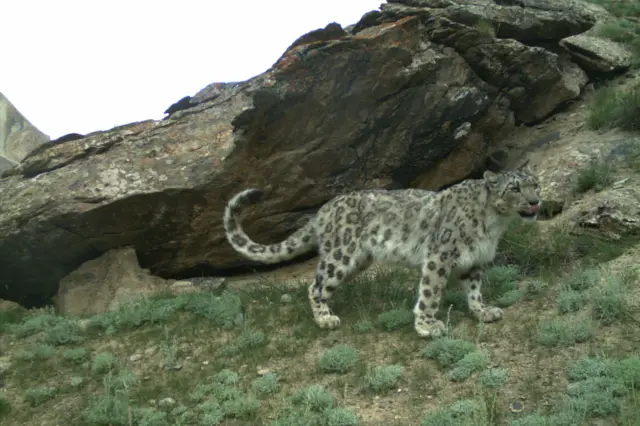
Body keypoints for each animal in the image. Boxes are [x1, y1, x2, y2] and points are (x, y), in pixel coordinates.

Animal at [223, 162, 542, 338]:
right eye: (515, 188)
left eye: (535, 184)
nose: (536, 201)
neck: (495, 223)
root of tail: (323, 210)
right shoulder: (439, 256)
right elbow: (431, 292)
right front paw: (427, 326)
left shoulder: (476, 261)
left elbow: (474, 290)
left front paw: (482, 312)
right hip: (341, 255)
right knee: (315, 286)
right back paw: (325, 318)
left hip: (357, 261)